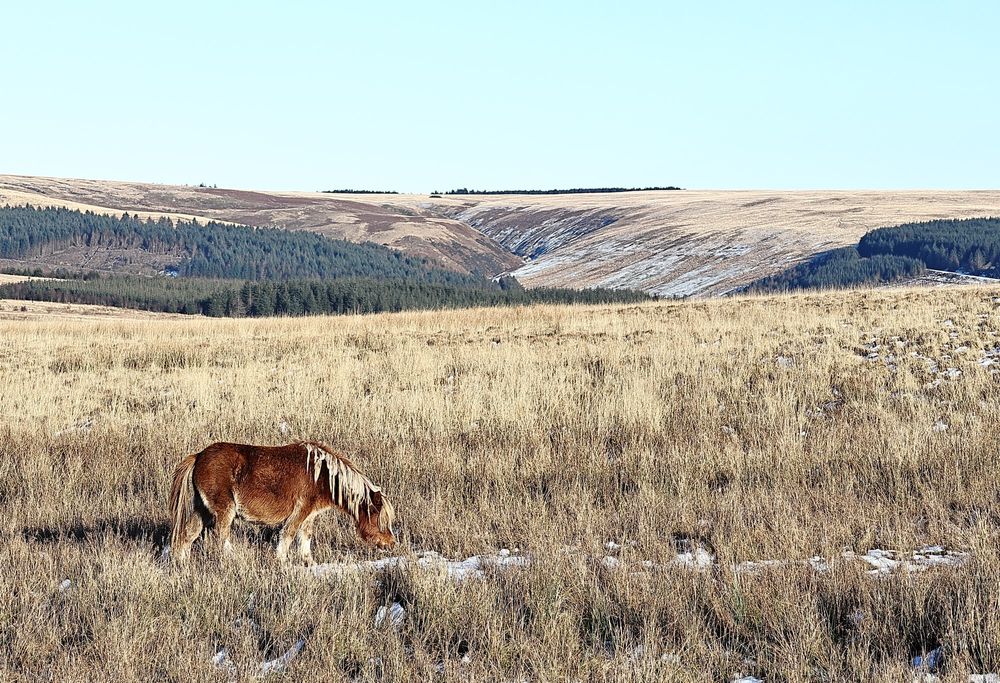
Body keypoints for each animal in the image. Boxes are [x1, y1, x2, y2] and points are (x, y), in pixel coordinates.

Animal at [168, 441, 396, 563]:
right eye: (380, 520)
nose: (391, 543)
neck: (321, 475)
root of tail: (198, 456)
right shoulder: (300, 512)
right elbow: (288, 535)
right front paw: (282, 562)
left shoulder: (310, 515)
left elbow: (305, 539)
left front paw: (309, 563)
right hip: (224, 510)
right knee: (221, 536)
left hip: (202, 509)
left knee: (187, 534)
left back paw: (182, 564)